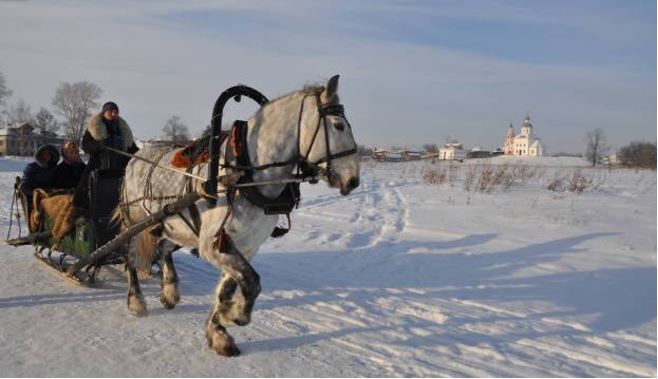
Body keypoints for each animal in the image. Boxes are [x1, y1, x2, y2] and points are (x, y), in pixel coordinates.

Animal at [116, 75, 358, 358]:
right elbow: (252, 282)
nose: (353, 180)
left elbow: (229, 289)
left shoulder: (244, 246)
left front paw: (219, 330)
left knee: (164, 248)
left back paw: (170, 291)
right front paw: (234, 316)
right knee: (130, 256)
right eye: (339, 125)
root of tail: (135, 156)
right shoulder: (213, 245)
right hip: (134, 221)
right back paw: (136, 300)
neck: (245, 173)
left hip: (173, 226)